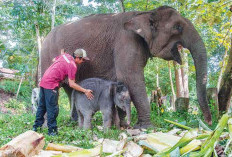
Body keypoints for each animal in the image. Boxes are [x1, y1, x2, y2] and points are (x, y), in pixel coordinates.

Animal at [40, 5, 212, 128]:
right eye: (178, 27)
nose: (209, 122)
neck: (145, 13)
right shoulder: (127, 41)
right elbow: (130, 77)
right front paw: (147, 128)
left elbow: (122, 81)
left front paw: (123, 125)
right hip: (46, 56)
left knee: (70, 88)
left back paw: (74, 122)